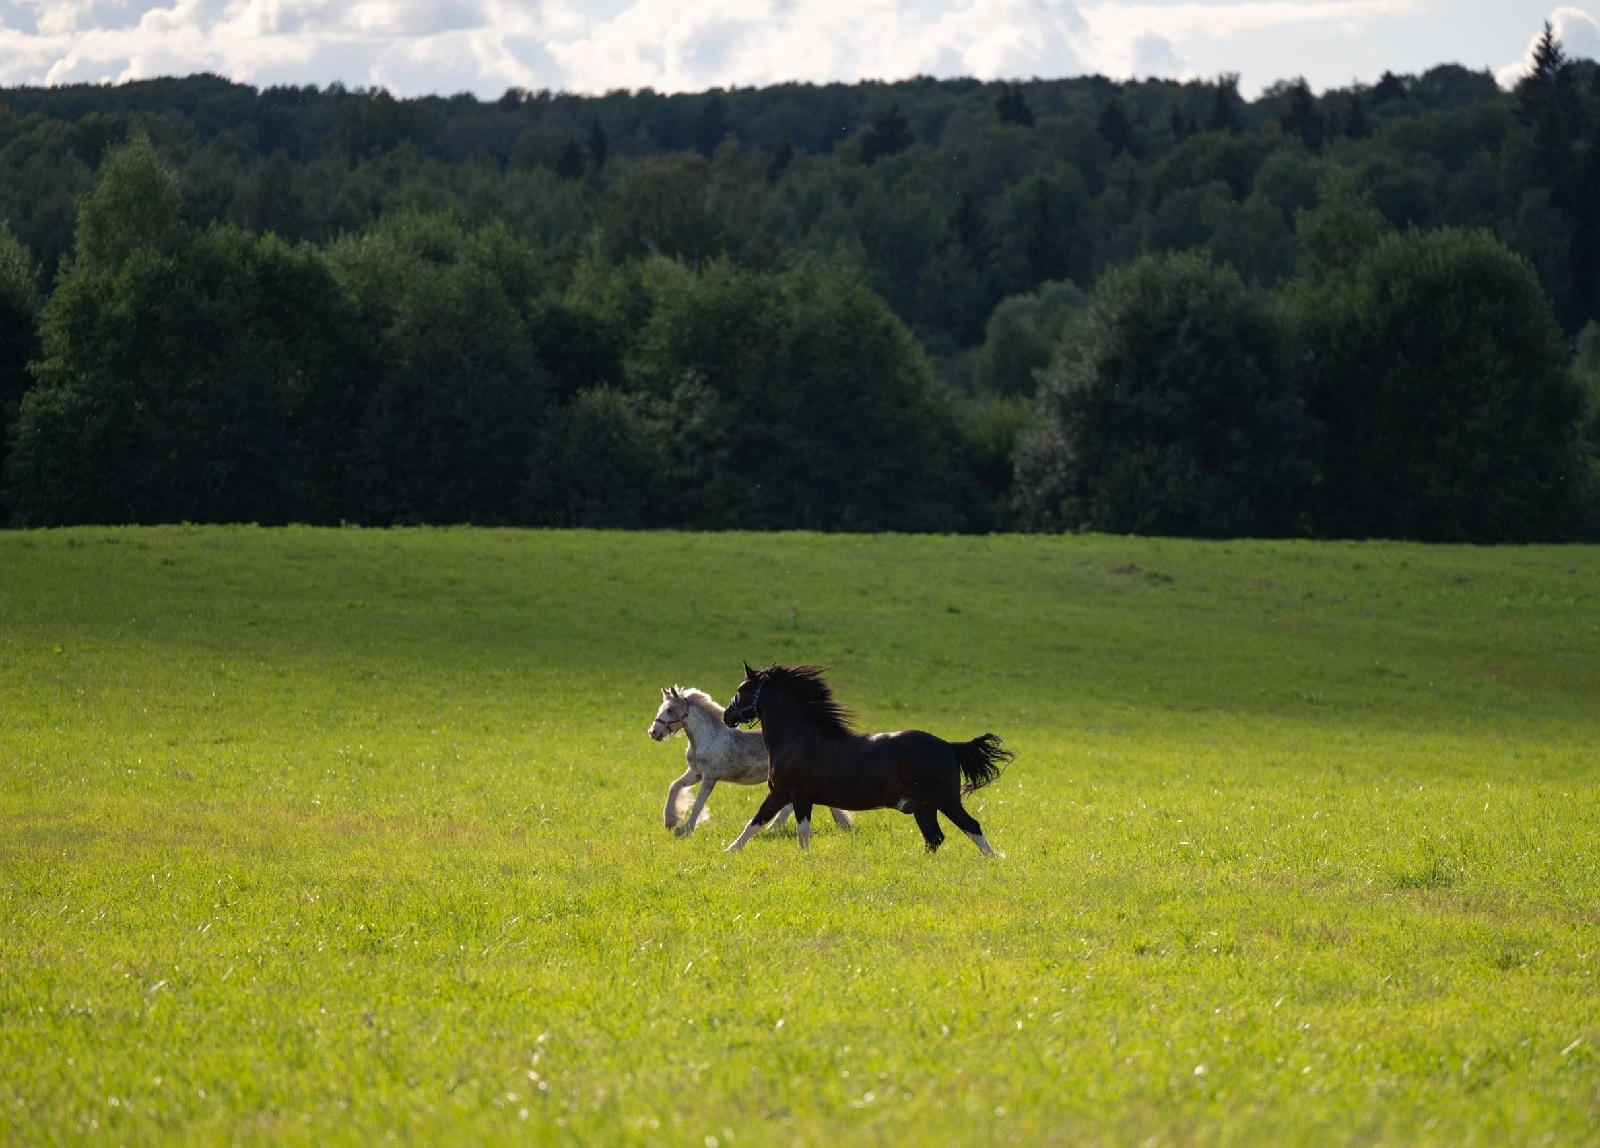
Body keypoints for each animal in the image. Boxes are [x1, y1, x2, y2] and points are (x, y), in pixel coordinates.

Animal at [726, 661, 1011, 857]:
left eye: (741, 689)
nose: (727, 716)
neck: (797, 737)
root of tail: (950, 747)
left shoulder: (800, 796)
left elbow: (801, 832)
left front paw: (805, 859)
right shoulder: (778, 793)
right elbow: (755, 823)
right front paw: (727, 852)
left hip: (946, 799)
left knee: (970, 826)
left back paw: (995, 858)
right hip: (925, 806)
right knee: (934, 838)